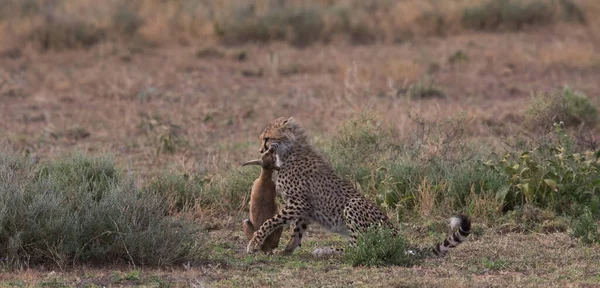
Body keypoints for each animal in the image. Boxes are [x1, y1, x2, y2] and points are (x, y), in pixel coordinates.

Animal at [246, 117, 472, 258]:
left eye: (267, 138)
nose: (260, 149)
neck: (289, 151)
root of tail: (398, 237)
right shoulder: (305, 208)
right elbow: (297, 232)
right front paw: (287, 250)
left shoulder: (298, 203)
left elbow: (270, 221)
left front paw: (254, 243)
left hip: (353, 204)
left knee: (359, 248)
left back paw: (327, 251)